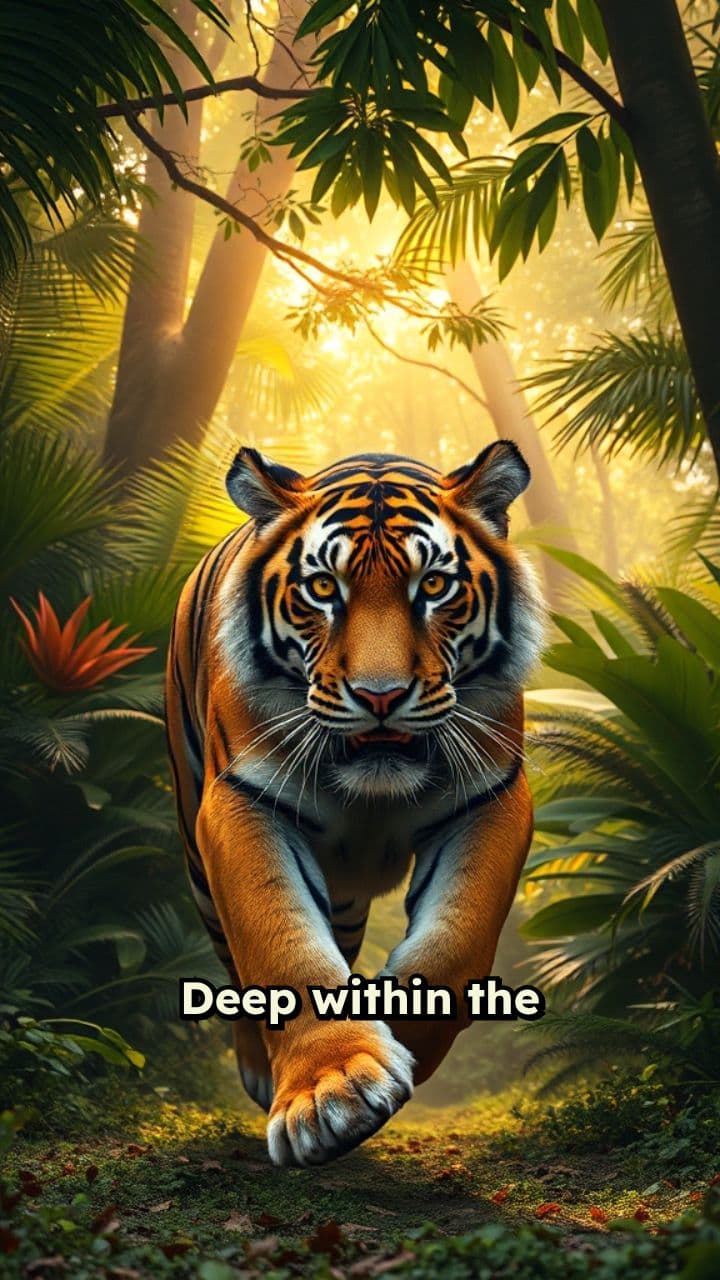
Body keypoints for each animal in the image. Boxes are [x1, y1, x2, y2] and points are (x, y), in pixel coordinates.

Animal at [165, 441, 545, 1167]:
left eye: (434, 587)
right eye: (322, 590)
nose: (380, 695)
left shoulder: (492, 797)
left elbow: (455, 943)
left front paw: (399, 1032)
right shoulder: (242, 802)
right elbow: (279, 945)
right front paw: (332, 1091)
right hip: (196, 857)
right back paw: (260, 1066)